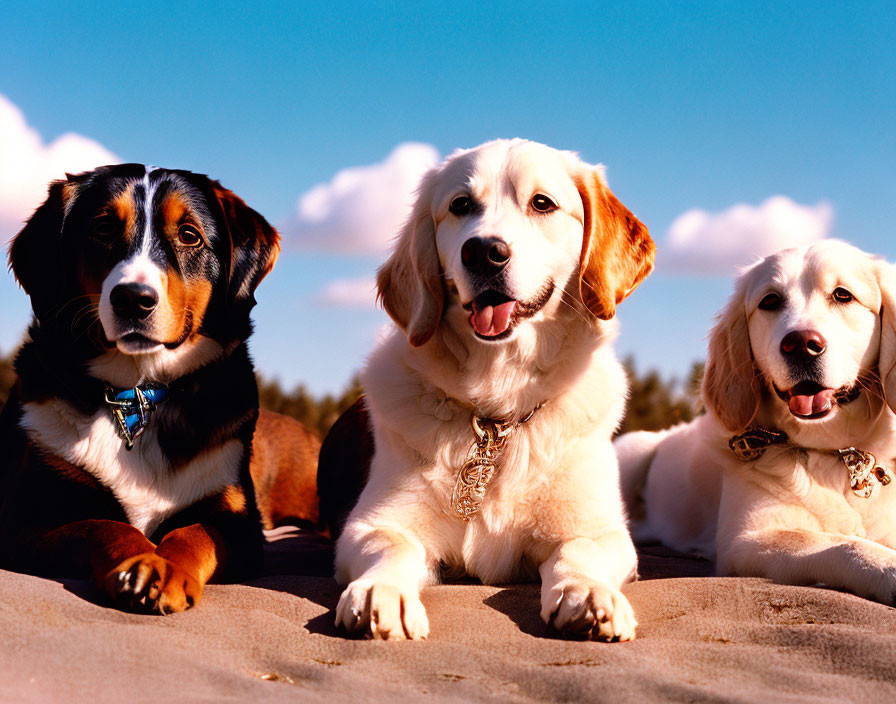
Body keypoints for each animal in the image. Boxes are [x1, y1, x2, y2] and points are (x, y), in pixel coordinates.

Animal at [0, 164, 280, 612]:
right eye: (102, 228)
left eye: (189, 235)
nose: (133, 298)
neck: (137, 394)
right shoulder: (25, 520)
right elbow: (103, 523)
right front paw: (141, 563)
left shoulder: (239, 523)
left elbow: (195, 532)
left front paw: (170, 568)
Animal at [332, 139, 656, 644]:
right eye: (460, 206)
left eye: (542, 203)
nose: (484, 252)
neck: (497, 410)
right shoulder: (371, 524)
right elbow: (394, 547)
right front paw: (380, 592)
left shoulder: (601, 531)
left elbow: (578, 551)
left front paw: (588, 594)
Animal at [616, 243, 896, 604]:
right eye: (770, 301)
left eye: (842, 295)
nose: (800, 344)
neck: (831, 454)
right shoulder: (747, 539)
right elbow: (841, 544)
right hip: (630, 451)